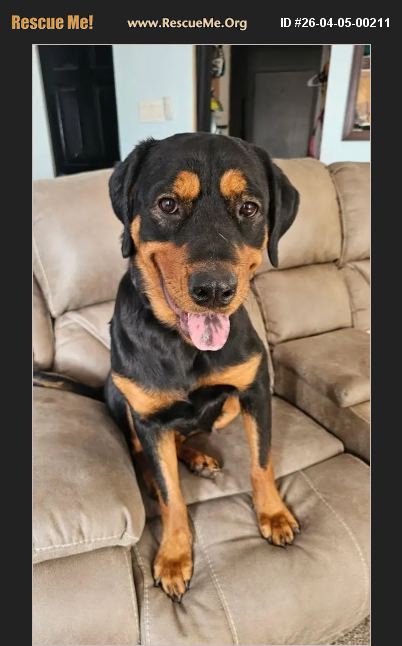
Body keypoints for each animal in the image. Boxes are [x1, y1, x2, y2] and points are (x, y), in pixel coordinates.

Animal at [103, 133, 300, 602]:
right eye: (168, 204)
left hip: (226, 408)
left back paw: (198, 456)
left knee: (195, 431)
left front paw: (273, 514)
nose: (214, 290)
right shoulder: (148, 418)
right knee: (145, 455)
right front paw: (175, 555)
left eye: (249, 207)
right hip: (119, 399)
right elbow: (171, 495)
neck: (183, 344)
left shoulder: (254, 390)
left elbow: (261, 462)